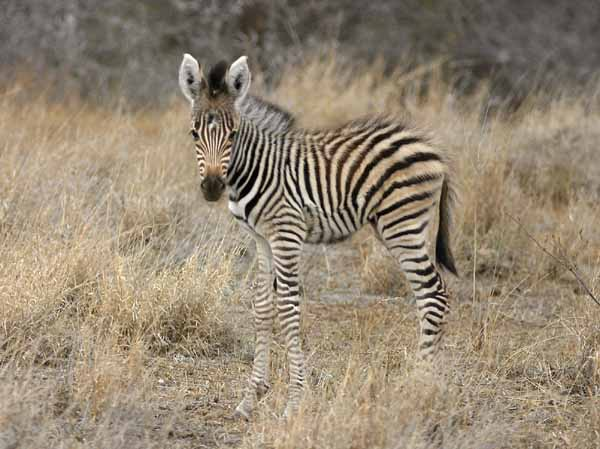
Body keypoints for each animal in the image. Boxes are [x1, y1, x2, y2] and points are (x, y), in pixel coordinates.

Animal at [178, 54, 460, 418]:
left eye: (233, 134)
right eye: (194, 133)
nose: (212, 187)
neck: (255, 167)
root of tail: (432, 147)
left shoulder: (287, 233)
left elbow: (287, 308)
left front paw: (294, 402)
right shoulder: (260, 238)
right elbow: (262, 306)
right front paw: (251, 398)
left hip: (403, 225)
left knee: (433, 293)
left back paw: (419, 385)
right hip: (400, 226)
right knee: (431, 294)